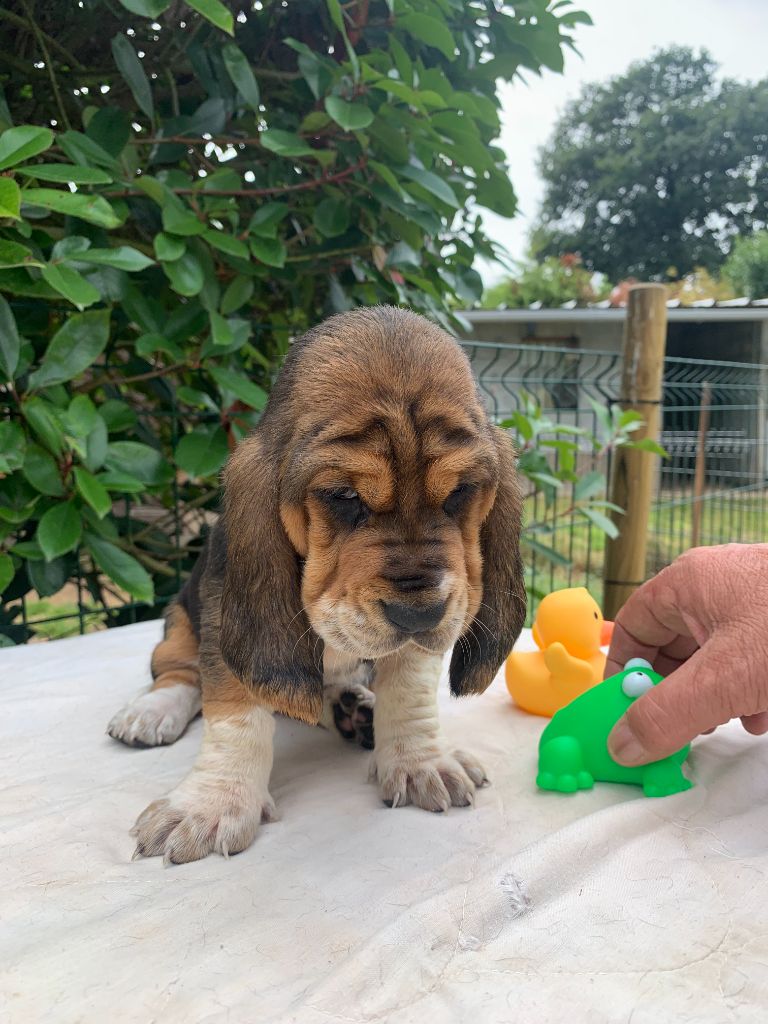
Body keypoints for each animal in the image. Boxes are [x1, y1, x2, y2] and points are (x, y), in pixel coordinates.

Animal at [108, 306, 526, 865]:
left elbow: (409, 688)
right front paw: (210, 805)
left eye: (460, 493)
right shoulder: (222, 616)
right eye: (343, 496)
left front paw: (421, 761)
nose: (419, 615)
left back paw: (355, 709)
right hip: (178, 616)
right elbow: (235, 713)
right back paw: (152, 711)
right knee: (177, 671)